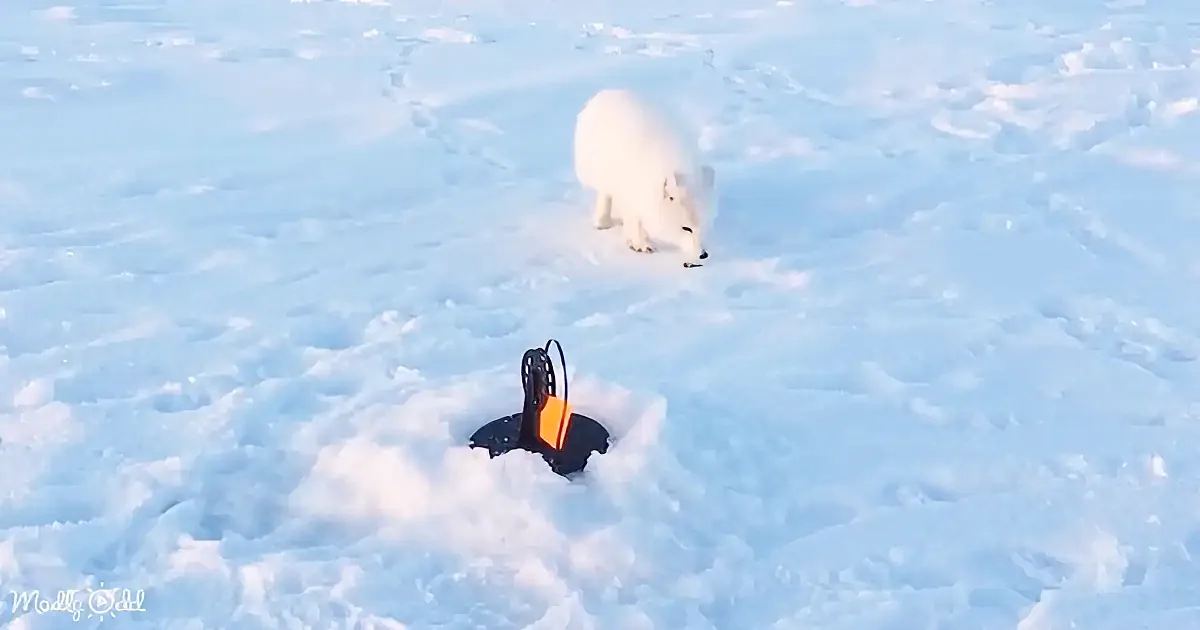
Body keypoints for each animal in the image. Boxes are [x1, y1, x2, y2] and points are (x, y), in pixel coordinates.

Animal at [572, 88, 715, 267]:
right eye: (686, 228)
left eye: (704, 225)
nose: (703, 255)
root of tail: (608, 91)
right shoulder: (630, 197)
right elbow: (635, 223)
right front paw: (640, 244)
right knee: (605, 195)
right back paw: (603, 222)